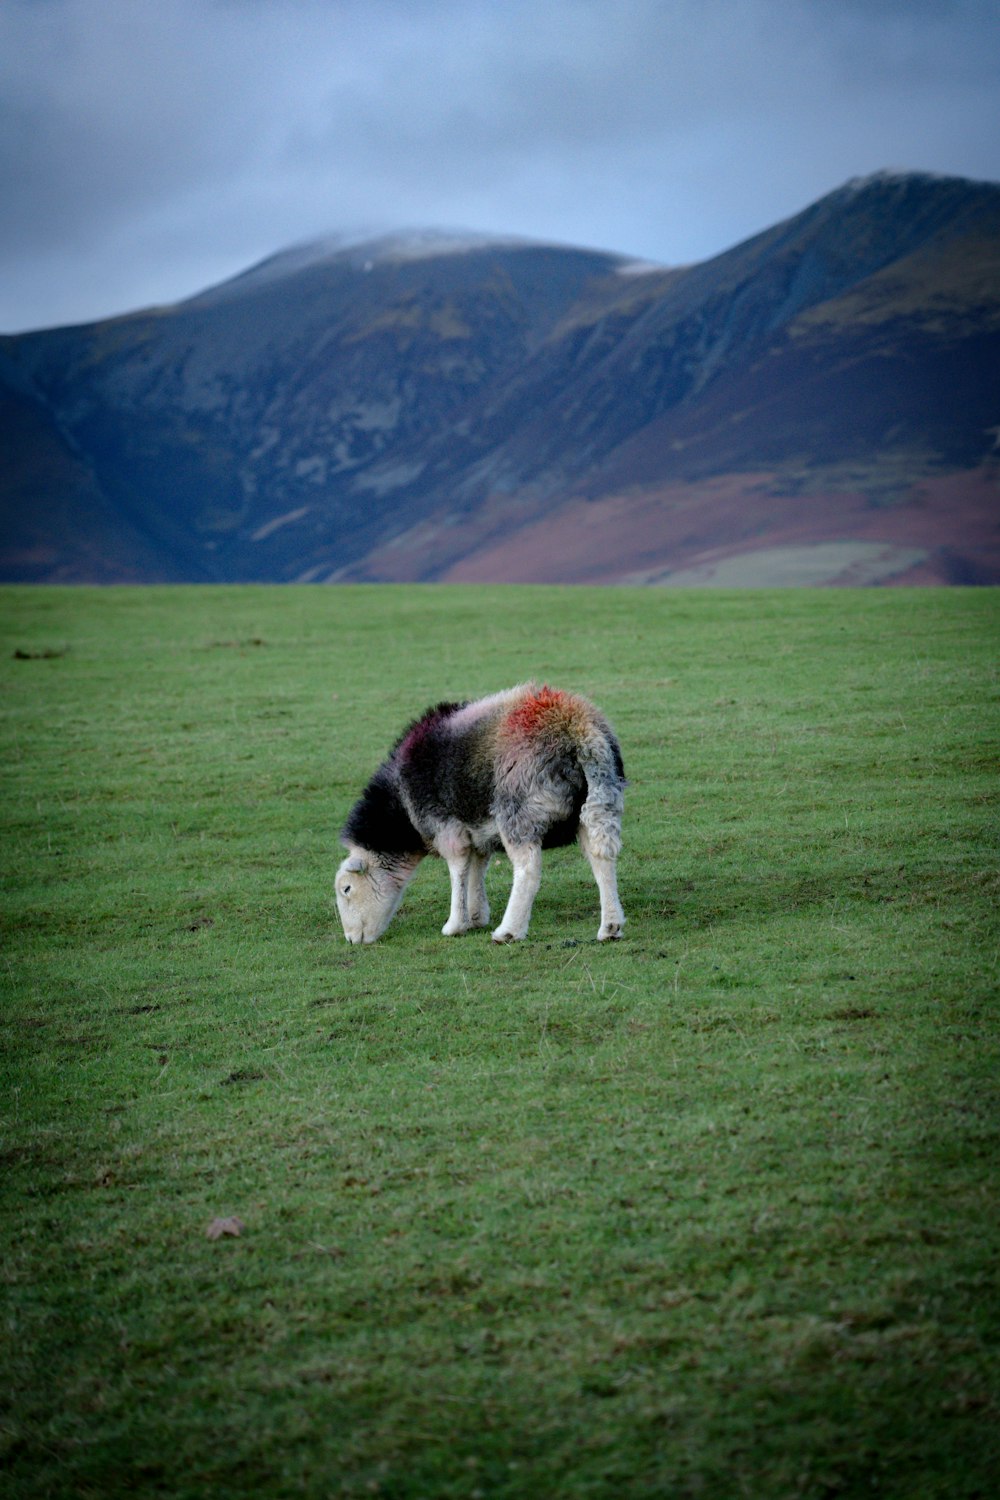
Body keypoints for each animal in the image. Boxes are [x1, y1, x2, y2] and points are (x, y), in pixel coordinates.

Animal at [334, 687, 626, 942]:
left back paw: (508, 931)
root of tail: (579, 730)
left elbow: (458, 869)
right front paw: (475, 916)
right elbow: (477, 867)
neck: (401, 809)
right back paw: (611, 926)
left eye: (346, 889)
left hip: (518, 809)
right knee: (602, 857)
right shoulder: (477, 830)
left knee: (528, 869)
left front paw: (455, 925)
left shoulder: (446, 827)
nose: (351, 940)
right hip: (601, 799)